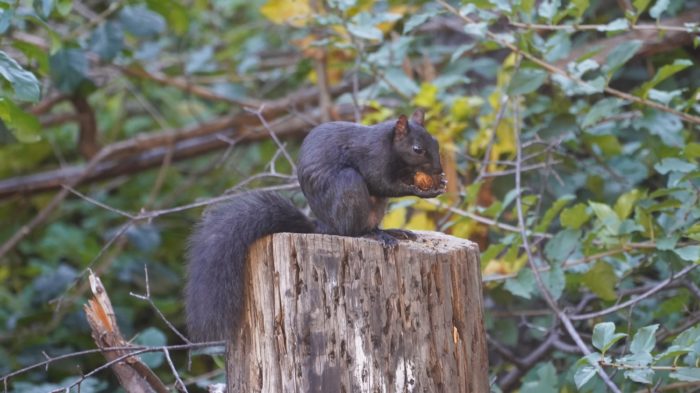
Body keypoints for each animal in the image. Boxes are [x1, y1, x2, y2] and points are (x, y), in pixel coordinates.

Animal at [186, 108, 446, 342]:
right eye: (417, 149)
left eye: (436, 142)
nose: (439, 170)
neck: (392, 147)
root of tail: (324, 226)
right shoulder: (373, 158)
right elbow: (381, 183)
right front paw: (420, 189)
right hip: (348, 186)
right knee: (351, 231)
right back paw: (373, 235)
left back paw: (389, 231)